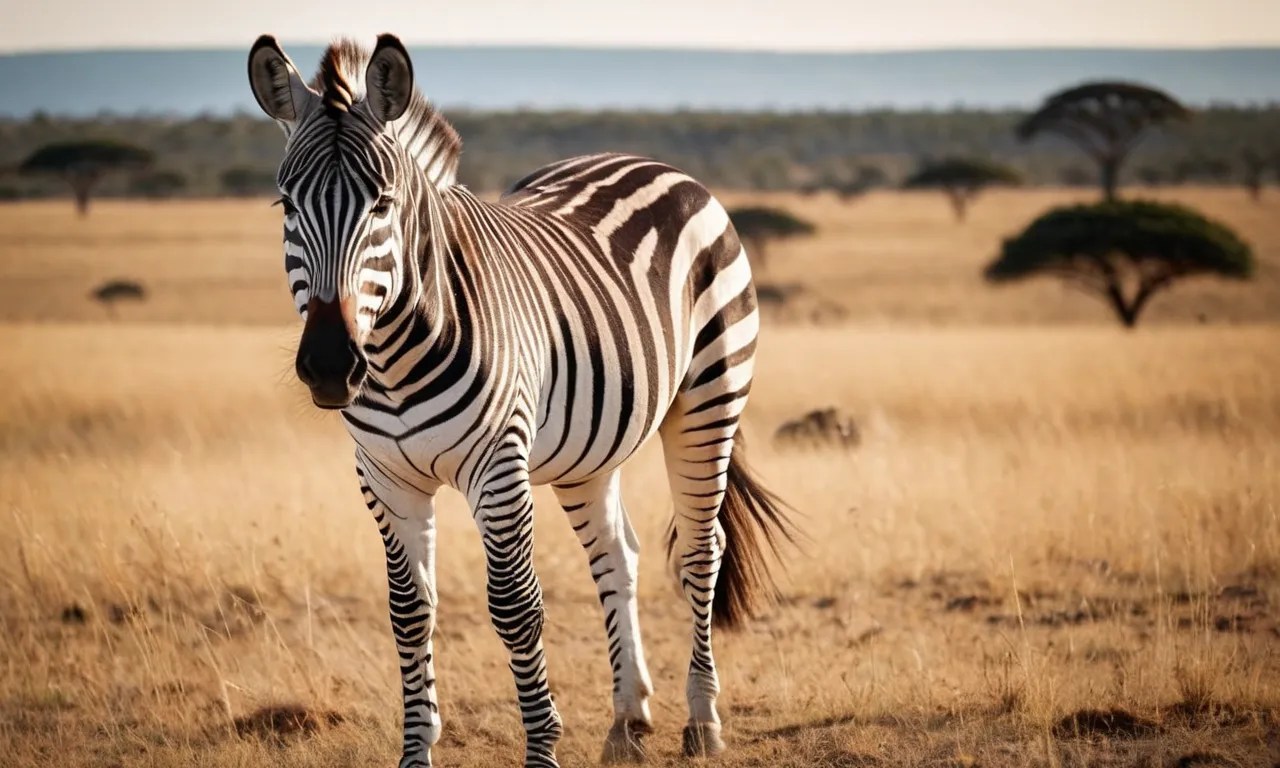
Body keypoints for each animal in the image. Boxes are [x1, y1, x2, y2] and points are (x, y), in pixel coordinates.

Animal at [247, 34, 795, 768]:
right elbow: (408, 612)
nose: (332, 366)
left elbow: (514, 607)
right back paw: (628, 720)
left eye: (383, 203)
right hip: (589, 450)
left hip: (711, 397)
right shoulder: (384, 477)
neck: (394, 361)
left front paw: (542, 747)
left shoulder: (498, 467)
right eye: (286, 205)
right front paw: (416, 751)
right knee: (618, 555)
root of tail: (651, 162)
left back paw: (702, 721)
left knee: (700, 552)